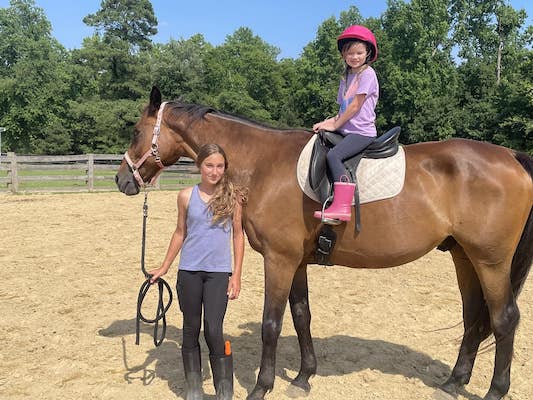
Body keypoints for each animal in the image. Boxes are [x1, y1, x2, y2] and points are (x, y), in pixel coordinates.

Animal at [115, 87, 532, 400]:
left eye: (135, 132)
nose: (123, 180)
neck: (264, 164)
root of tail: (511, 156)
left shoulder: (279, 260)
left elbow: (271, 323)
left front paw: (262, 387)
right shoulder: (295, 261)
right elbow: (302, 316)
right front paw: (303, 377)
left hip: (491, 261)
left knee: (504, 318)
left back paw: (495, 390)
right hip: (464, 257)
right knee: (474, 317)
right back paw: (453, 382)